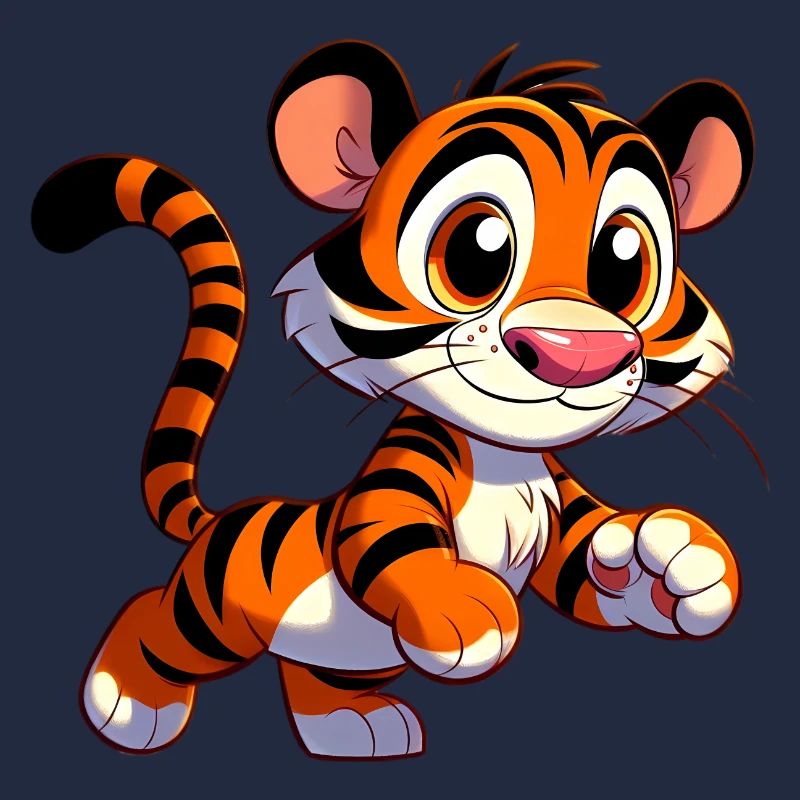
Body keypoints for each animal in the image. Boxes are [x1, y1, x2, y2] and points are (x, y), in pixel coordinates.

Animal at [31, 40, 753, 759]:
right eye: (477, 248)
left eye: (625, 260)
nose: (576, 353)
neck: (505, 462)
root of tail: (222, 518)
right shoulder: (405, 470)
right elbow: (386, 533)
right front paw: (464, 608)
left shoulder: (558, 508)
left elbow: (589, 562)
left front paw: (677, 565)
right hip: (213, 613)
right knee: (153, 617)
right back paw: (127, 702)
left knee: (311, 676)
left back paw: (355, 725)